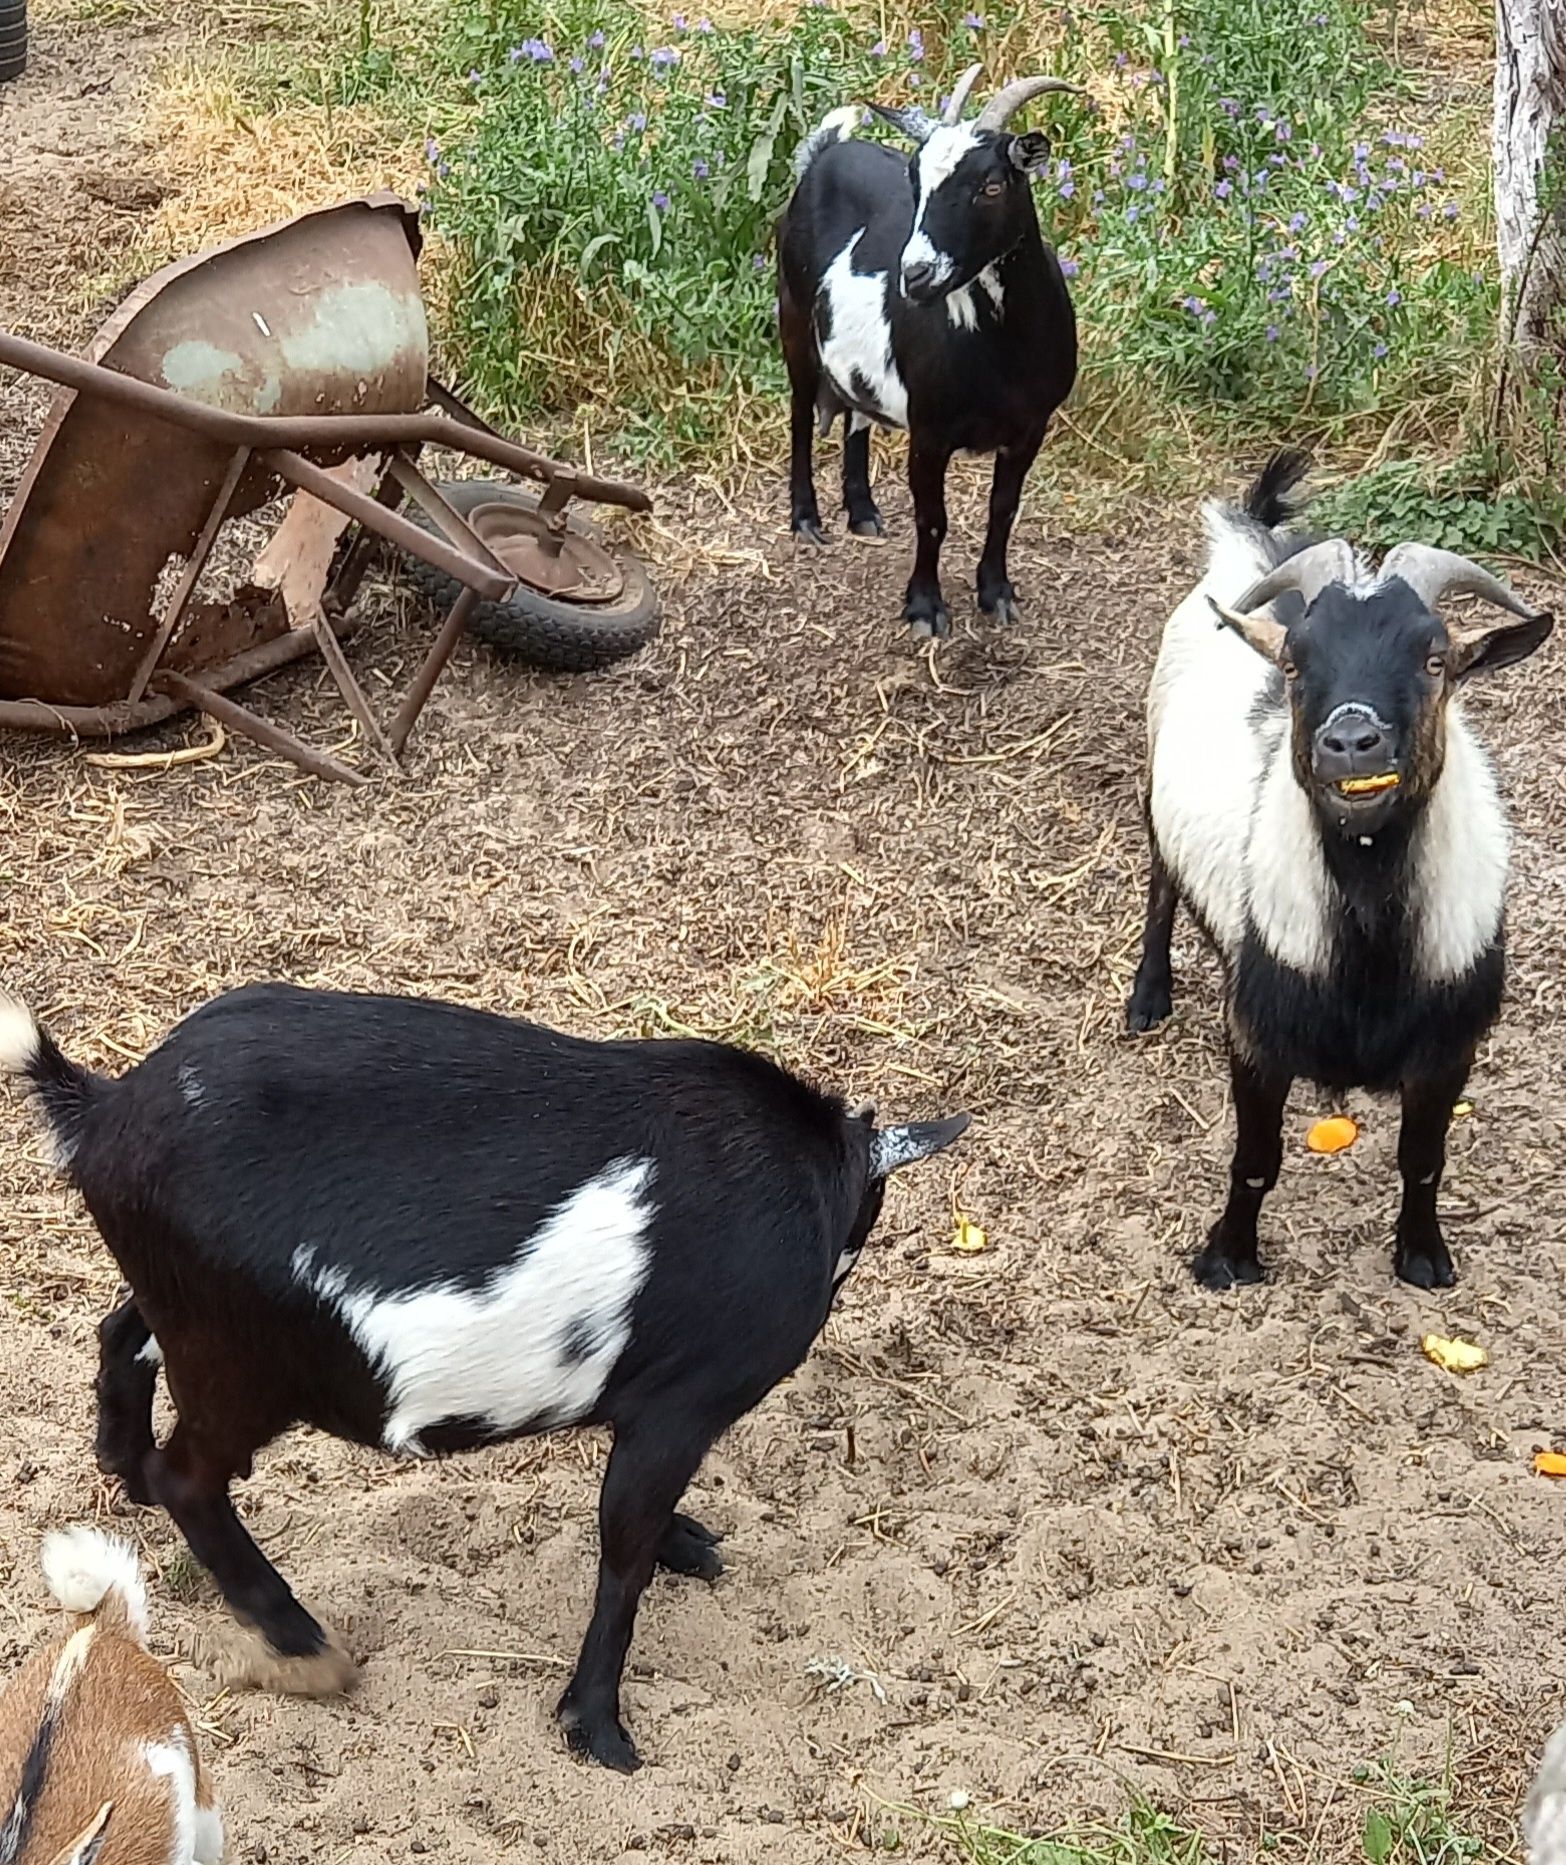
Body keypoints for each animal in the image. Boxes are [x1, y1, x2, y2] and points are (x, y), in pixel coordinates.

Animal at [3, 984, 969, 1768]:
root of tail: (104, 1108)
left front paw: (690, 1544)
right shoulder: (678, 1407)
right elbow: (623, 1547)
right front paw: (601, 1732)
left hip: (184, 1312)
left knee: (123, 1337)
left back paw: (126, 1476)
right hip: (242, 1361)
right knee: (191, 1474)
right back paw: (306, 1645)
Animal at [779, 69, 1081, 637]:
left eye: (992, 185)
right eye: (915, 183)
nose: (915, 276)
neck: (1002, 356)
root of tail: (825, 153)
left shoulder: (1031, 427)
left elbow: (1004, 508)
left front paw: (997, 594)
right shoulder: (930, 429)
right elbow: (932, 518)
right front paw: (924, 607)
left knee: (856, 413)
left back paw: (863, 511)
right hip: (793, 319)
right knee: (802, 417)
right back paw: (806, 519)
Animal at [1126, 451, 1551, 1290]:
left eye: (1436, 659)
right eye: (1296, 663)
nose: (1352, 740)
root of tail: (1254, 545)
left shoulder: (1450, 1046)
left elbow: (1424, 1159)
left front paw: (1423, 1256)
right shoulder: (1257, 1031)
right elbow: (1256, 1158)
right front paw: (1228, 1257)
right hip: (1155, 778)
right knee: (1161, 882)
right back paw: (1148, 996)